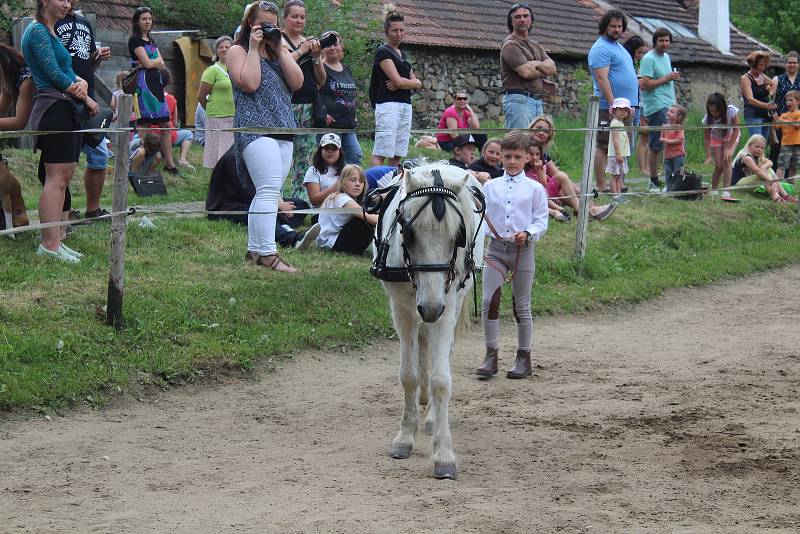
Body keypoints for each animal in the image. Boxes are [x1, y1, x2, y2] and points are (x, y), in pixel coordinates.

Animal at [368, 161, 482, 480]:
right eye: (409, 232)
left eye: (458, 235)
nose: (430, 307)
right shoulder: (402, 309)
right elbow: (408, 374)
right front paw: (405, 435)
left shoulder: (446, 304)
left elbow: (441, 380)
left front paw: (443, 454)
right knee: (422, 342)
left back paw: (430, 415)